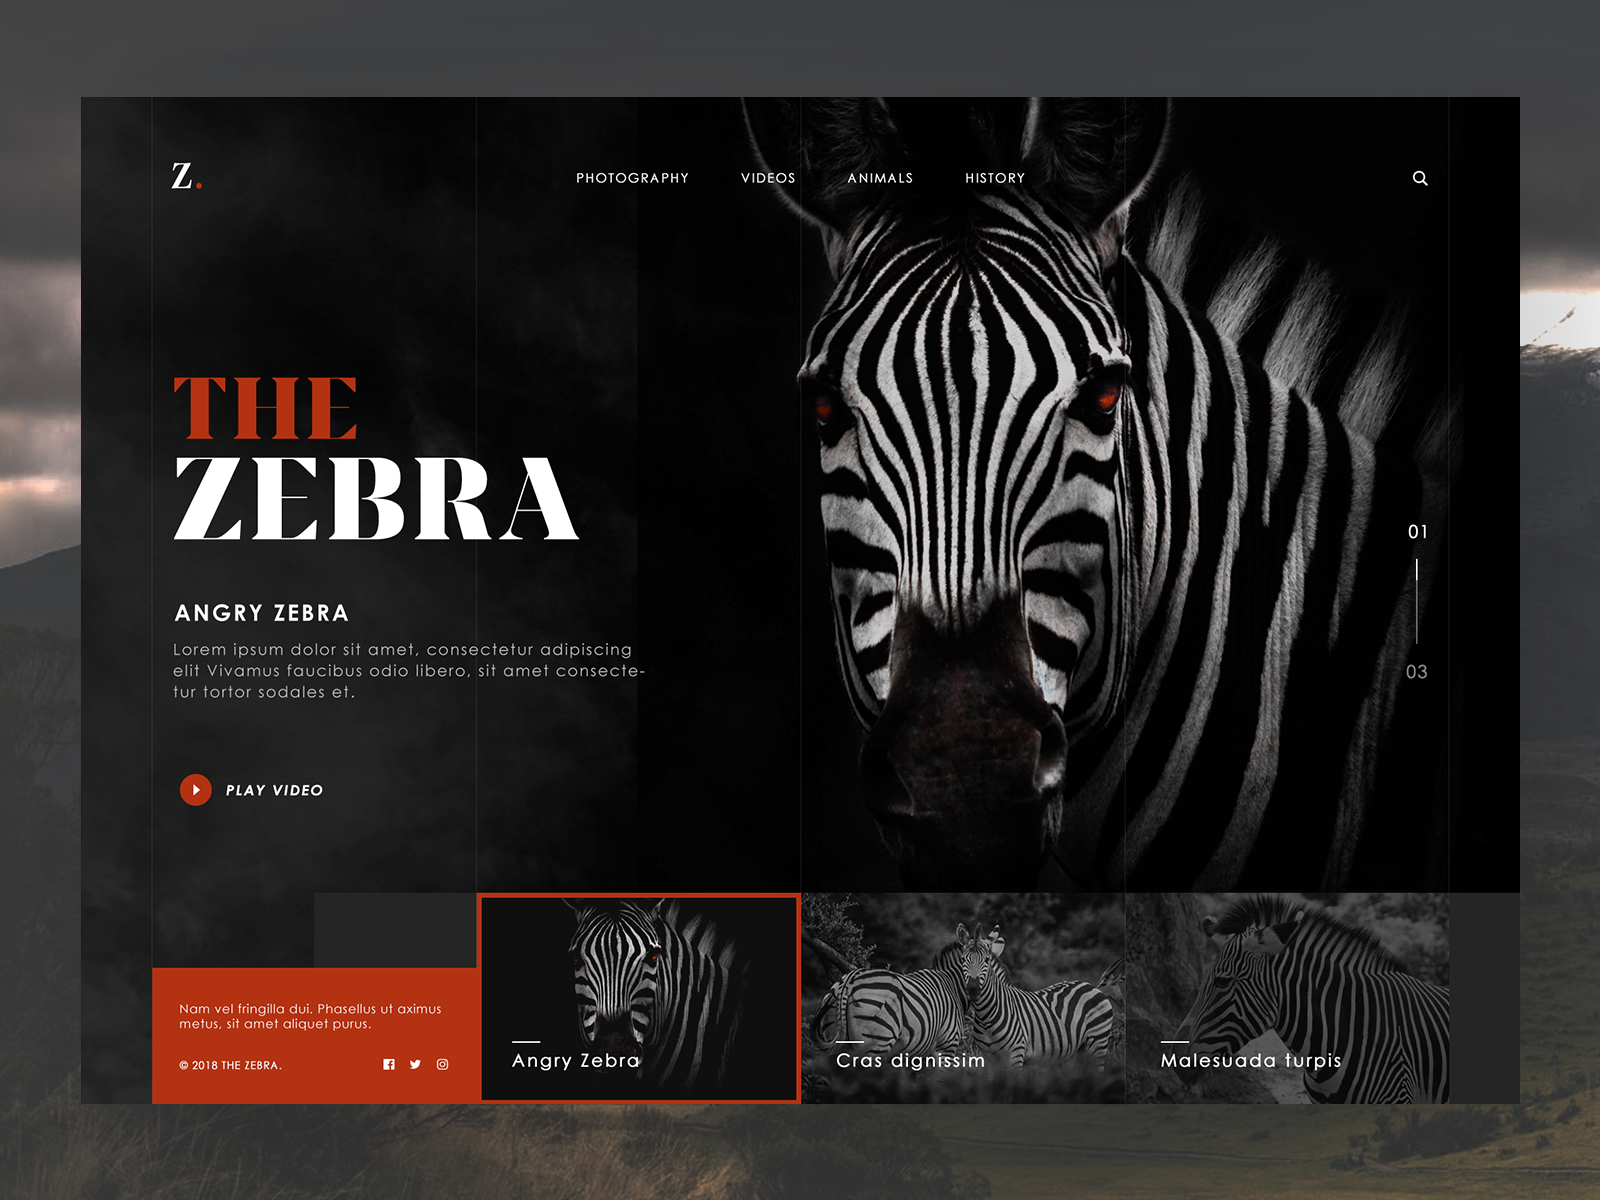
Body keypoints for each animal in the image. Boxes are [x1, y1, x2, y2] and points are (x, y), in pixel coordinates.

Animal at [956, 926, 1116, 1070]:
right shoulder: (988, 1059)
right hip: (1078, 1050)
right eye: (963, 960)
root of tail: (1089, 985)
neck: (986, 1016)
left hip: (1097, 1042)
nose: (973, 990)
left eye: (987, 960)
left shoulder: (1015, 1056)